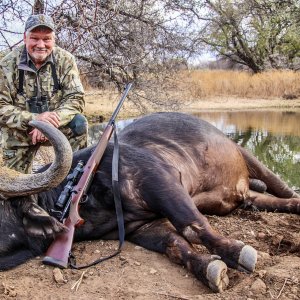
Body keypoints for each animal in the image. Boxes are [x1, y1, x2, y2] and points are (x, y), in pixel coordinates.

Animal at [0, 111, 300, 292]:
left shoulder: (161, 183)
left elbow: (193, 226)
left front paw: (237, 252)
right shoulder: (139, 229)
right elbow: (175, 244)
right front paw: (209, 268)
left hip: (249, 157)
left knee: (285, 191)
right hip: (244, 196)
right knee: (266, 201)